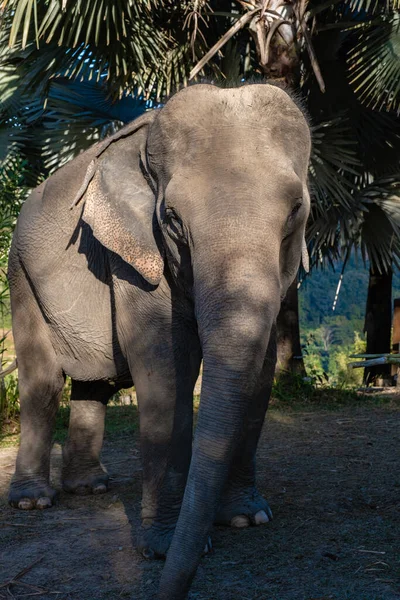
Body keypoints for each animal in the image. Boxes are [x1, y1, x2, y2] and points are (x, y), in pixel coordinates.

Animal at [7, 82, 310, 596]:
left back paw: (91, 488)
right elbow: (167, 371)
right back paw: (34, 502)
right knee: (43, 384)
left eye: (295, 211)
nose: (172, 587)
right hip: (20, 273)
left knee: (95, 384)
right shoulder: (133, 256)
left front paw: (247, 520)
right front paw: (165, 549)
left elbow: (262, 370)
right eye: (170, 219)